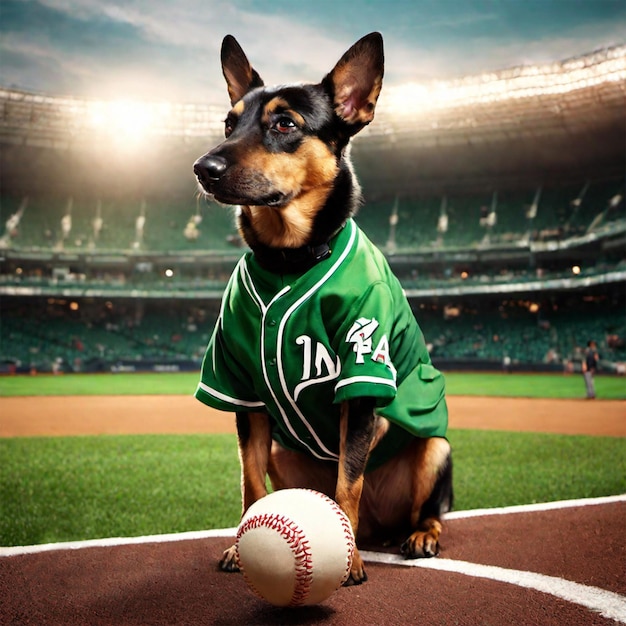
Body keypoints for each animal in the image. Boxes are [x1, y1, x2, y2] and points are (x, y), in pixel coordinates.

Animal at [193, 31, 450, 584]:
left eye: (285, 124)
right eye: (229, 122)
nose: (203, 168)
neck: (289, 258)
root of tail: (379, 529)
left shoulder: (362, 380)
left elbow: (348, 481)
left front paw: (348, 563)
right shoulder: (243, 393)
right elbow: (249, 485)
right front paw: (240, 548)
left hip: (436, 449)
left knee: (430, 506)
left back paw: (419, 534)